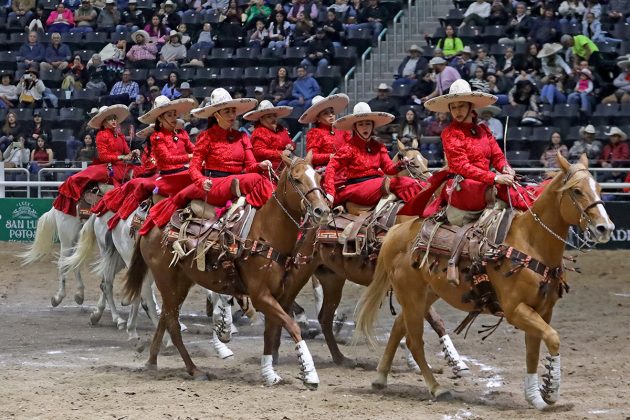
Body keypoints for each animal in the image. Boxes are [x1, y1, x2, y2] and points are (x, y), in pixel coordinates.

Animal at [122, 153, 330, 388]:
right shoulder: (260, 296)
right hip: (166, 281)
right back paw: (194, 370)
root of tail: (149, 224)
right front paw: (309, 374)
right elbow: (292, 326)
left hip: (181, 282)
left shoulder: (277, 295)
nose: (322, 210)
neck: (266, 233)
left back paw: (152, 361)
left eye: (319, 178)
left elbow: (271, 333)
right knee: (173, 324)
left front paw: (269, 374)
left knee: (166, 318)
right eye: (296, 179)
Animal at [358, 153, 616, 408]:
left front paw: (535, 396)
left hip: (425, 295)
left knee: (398, 327)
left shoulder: (543, 309)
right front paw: (550, 391)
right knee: (414, 342)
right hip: (412, 296)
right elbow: (553, 338)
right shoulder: (515, 310)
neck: (530, 243)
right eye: (577, 191)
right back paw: (437, 388)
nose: (606, 228)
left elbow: (533, 350)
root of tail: (395, 232)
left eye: (599, 188)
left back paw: (380, 378)